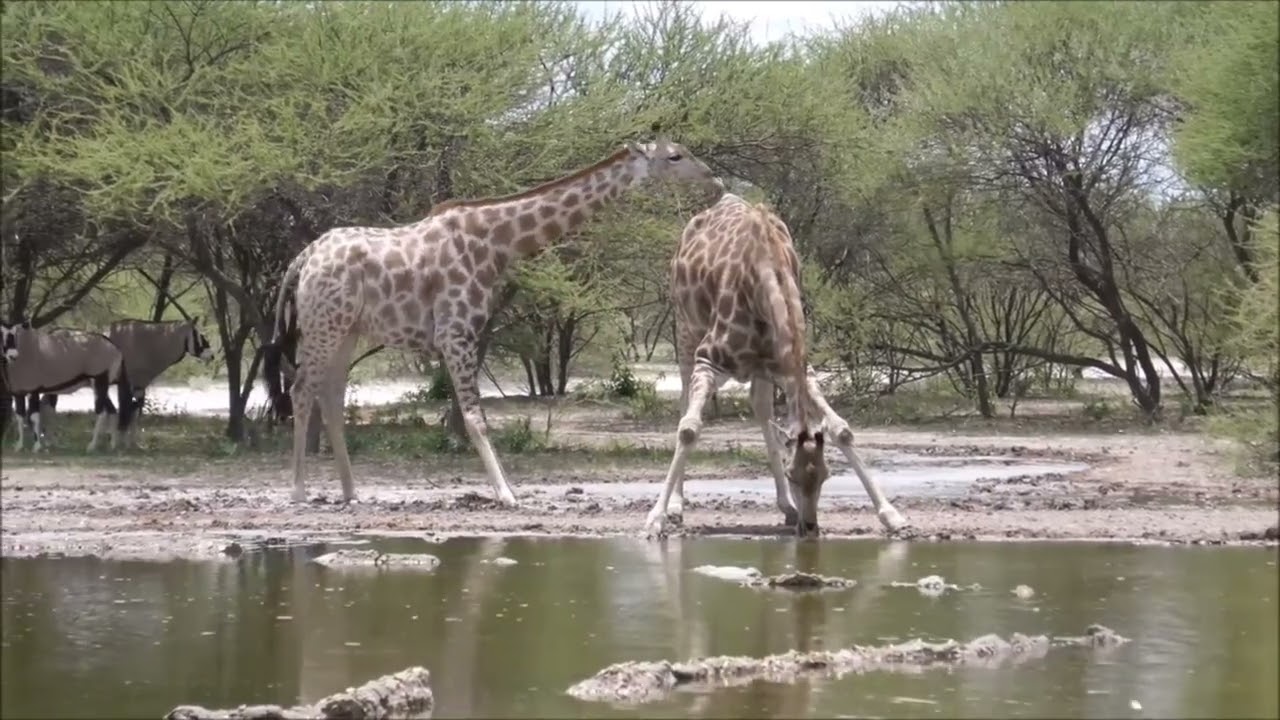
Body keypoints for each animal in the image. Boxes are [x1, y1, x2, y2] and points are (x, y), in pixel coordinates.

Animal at [261, 135, 723, 505]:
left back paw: (351, 491)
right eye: (676, 156)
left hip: (347, 329)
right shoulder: (456, 332)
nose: (714, 180)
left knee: (331, 395)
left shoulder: (462, 334)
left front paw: (508, 490)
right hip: (324, 324)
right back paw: (299, 492)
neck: (497, 244)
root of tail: (303, 259)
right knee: (302, 389)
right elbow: (476, 418)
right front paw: (506, 494)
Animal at [644, 193, 907, 537]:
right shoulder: (709, 359)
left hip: (761, 368)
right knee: (685, 403)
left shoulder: (795, 366)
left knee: (761, 409)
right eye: (793, 473)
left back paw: (786, 507)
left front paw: (891, 514)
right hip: (686, 330)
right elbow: (688, 429)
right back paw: (676, 506)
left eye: (825, 475)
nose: (811, 528)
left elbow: (841, 429)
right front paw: (655, 518)